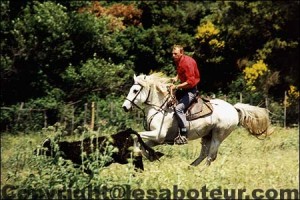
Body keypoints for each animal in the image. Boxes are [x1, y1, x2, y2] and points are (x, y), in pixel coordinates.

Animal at [121, 73, 272, 166]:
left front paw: (145, 155)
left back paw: (201, 172)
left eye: (135, 91)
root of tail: (234, 109)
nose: (124, 107)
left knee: (211, 156)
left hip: (218, 135)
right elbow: (141, 143)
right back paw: (190, 168)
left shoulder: (158, 134)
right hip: (207, 135)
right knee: (204, 154)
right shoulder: (158, 139)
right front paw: (149, 155)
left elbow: (136, 137)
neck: (160, 107)